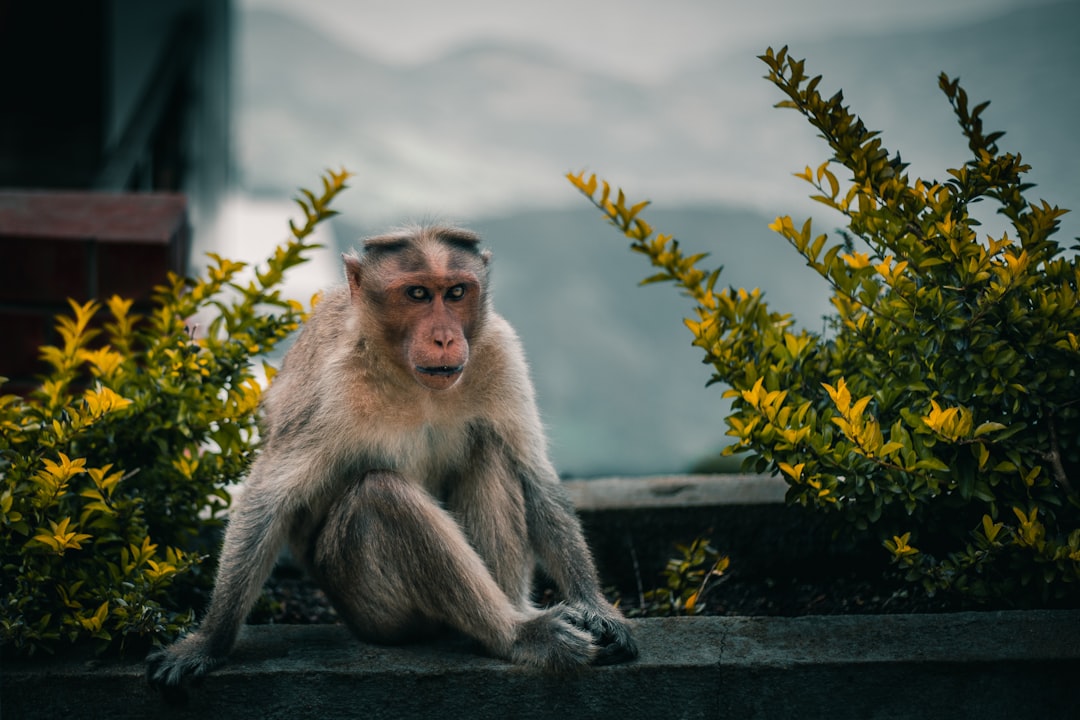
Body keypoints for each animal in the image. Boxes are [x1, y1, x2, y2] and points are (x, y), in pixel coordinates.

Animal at [143, 225, 630, 690]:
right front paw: (209, 642)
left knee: (488, 450)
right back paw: (516, 634)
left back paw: (517, 619)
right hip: (370, 608)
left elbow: (534, 475)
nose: (445, 337)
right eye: (417, 294)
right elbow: (270, 500)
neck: (408, 375)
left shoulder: (499, 350)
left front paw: (596, 607)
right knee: (383, 493)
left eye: (456, 292)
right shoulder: (333, 387)